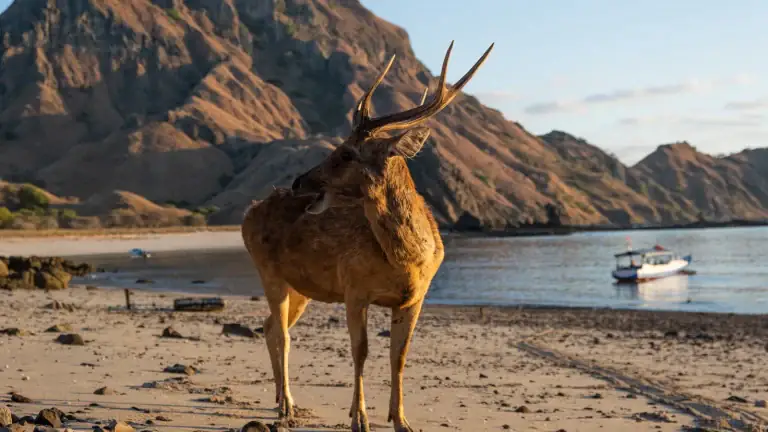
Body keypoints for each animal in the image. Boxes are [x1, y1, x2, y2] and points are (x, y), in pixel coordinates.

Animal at [241, 41, 494, 432]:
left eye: (347, 153)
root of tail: (247, 214)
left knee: (269, 327)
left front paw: (401, 420)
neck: (406, 263)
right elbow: (360, 351)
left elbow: (399, 356)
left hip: (301, 287)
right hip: (269, 272)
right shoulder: (353, 288)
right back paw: (287, 406)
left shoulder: (415, 298)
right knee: (281, 332)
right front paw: (359, 418)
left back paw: (282, 400)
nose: (299, 182)